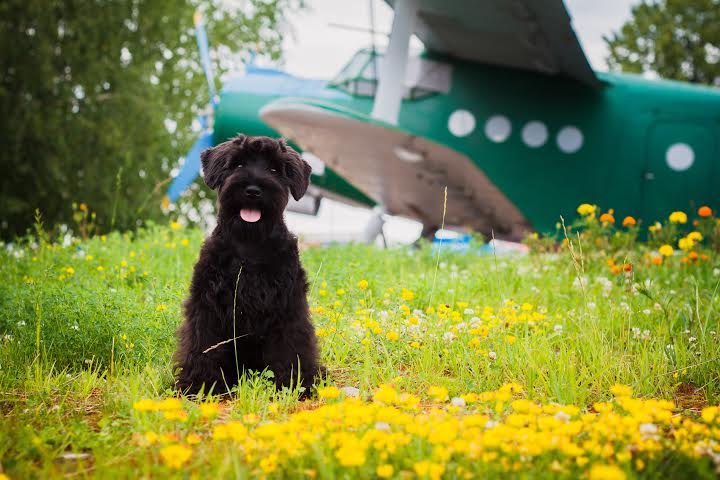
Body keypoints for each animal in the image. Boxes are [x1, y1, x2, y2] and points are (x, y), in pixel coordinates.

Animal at [173, 134, 322, 394]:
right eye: (238, 164)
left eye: (274, 169)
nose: (253, 190)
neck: (250, 244)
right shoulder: (207, 305)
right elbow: (202, 344)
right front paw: (199, 383)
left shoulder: (288, 306)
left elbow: (292, 344)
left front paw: (295, 383)